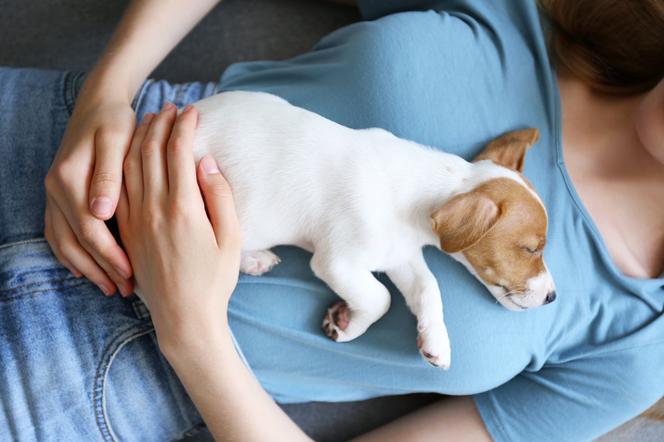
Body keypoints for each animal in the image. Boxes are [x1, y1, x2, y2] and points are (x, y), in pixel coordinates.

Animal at [191, 90, 556, 370]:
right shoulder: (337, 263)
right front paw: (349, 324)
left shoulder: (400, 256)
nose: (553, 297)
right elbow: (381, 298)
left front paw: (436, 339)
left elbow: (429, 288)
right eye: (531, 248)